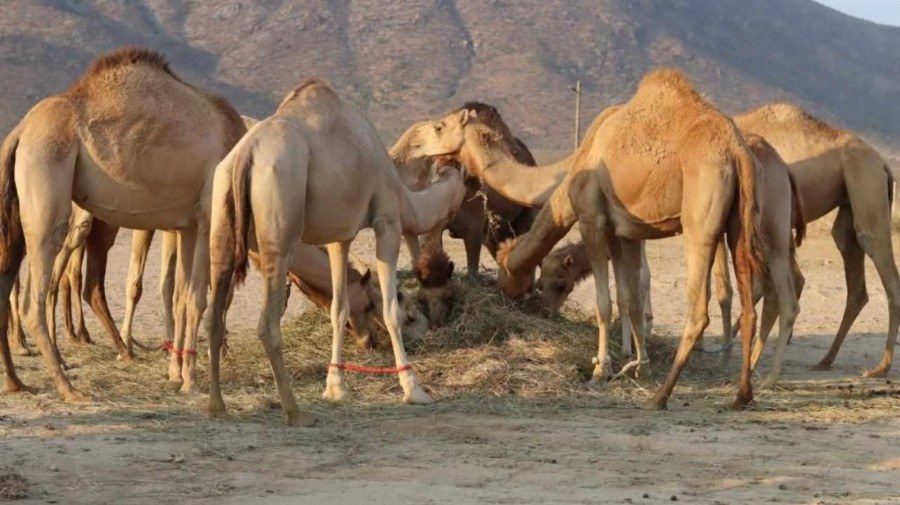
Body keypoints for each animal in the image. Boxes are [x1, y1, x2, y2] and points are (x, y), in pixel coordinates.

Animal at [0, 48, 246, 402]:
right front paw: (189, 379)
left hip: (18, 212)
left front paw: (175, 373)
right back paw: (69, 388)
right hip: (46, 176)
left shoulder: (188, 225)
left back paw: (16, 382)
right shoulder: (208, 216)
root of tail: (19, 132)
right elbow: (196, 298)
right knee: (34, 297)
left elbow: (181, 296)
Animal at [206, 79, 472, 426]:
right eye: (441, 126)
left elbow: (339, 307)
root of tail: (245, 155)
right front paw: (414, 389)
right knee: (266, 323)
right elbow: (390, 311)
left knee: (213, 315)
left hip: (221, 214)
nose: (467, 115)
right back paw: (296, 413)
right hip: (280, 219)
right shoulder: (388, 221)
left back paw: (216, 406)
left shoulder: (339, 237)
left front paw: (336, 388)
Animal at [426, 70, 764, 410]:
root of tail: (737, 151)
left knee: (698, 312)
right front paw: (640, 367)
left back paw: (661, 396)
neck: (576, 162)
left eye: (441, 127)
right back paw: (741, 396)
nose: (508, 292)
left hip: (700, 221)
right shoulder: (624, 231)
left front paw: (601, 371)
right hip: (739, 222)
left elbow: (604, 303)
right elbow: (630, 299)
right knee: (749, 307)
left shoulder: (592, 221)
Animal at [732, 103, 900, 378]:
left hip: (866, 183)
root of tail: (882, 163)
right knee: (854, 274)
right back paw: (825, 360)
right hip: (848, 205)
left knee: (878, 256)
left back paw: (880, 367)